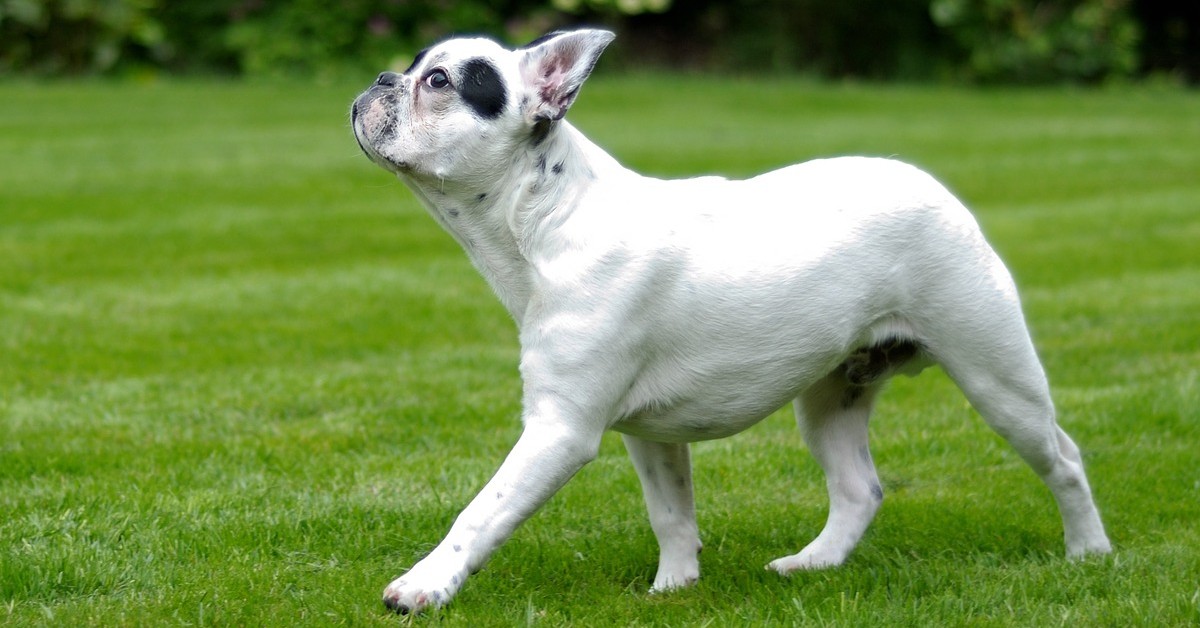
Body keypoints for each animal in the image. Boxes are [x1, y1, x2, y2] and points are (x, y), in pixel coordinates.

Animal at [350, 29, 1113, 614]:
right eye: (413, 67)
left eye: (439, 81)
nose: (382, 78)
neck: (546, 219)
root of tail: (935, 188)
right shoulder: (648, 434)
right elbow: (671, 512)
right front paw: (675, 587)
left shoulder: (558, 430)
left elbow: (483, 510)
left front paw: (422, 587)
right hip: (832, 395)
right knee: (858, 488)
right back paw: (813, 563)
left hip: (994, 372)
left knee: (1062, 458)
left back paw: (1088, 553)